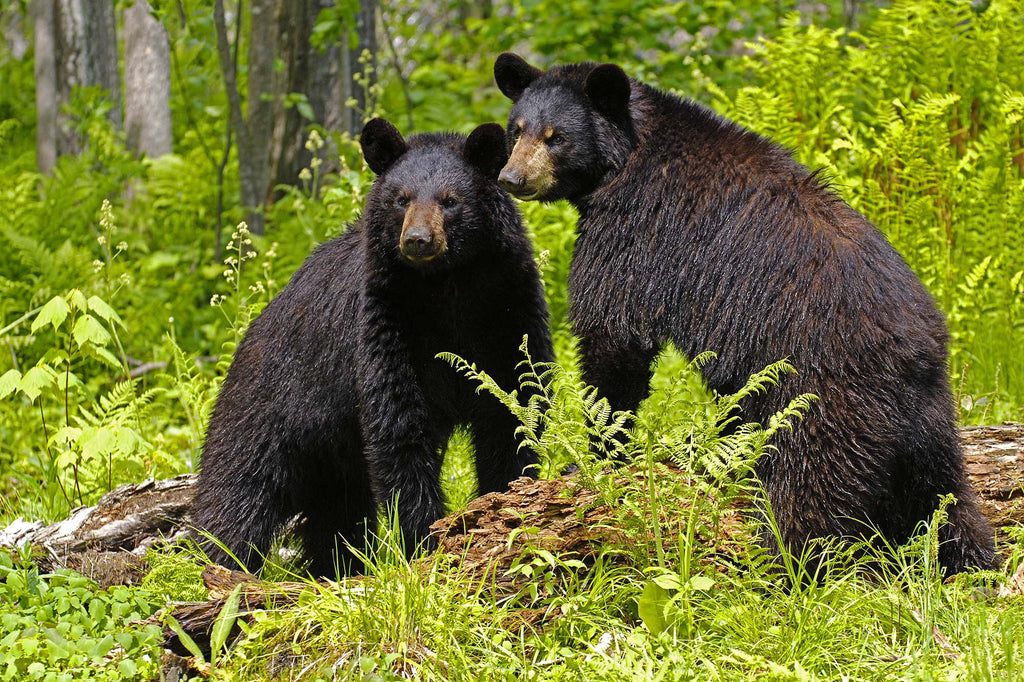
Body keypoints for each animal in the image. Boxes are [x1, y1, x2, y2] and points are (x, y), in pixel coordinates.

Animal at [191, 118, 553, 577]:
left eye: (450, 200)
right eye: (401, 198)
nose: (418, 239)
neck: (447, 286)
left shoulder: (508, 309)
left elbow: (514, 408)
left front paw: (507, 505)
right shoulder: (385, 324)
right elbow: (397, 427)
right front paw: (425, 539)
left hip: (332, 460)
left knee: (337, 512)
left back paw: (335, 567)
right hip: (268, 408)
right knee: (237, 490)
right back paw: (212, 563)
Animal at [492, 53, 994, 575]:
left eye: (556, 137)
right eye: (516, 129)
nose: (511, 179)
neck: (627, 156)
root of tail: (917, 354)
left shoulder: (632, 231)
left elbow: (614, 336)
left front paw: (593, 456)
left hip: (823, 393)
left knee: (808, 487)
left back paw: (780, 563)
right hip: (930, 423)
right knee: (946, 498)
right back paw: (972, 563)